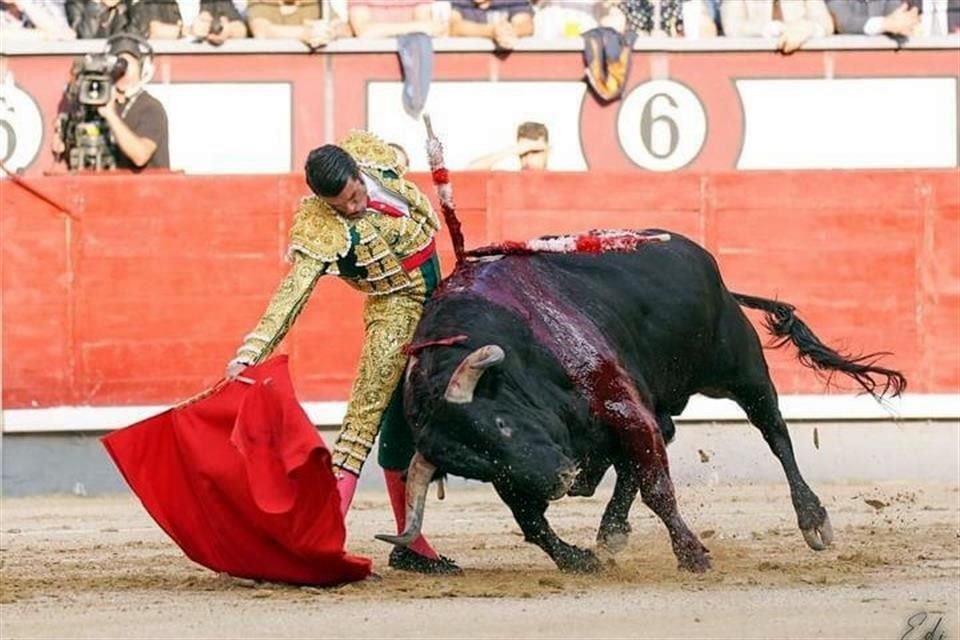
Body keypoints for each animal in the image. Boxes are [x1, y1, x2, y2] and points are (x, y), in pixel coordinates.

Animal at [376, 231, 908, 576]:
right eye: (478, 467)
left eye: (502, 424)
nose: (561, 480)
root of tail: (700, 257)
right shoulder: (531, 470)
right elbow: (531, 521)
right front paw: (578, 559)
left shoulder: (621, 408)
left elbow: (657, 487)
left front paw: (692, 555)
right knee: (659, 439)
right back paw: (611, 529)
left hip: (740, 368)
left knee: (774, 430)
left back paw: (812, 518)